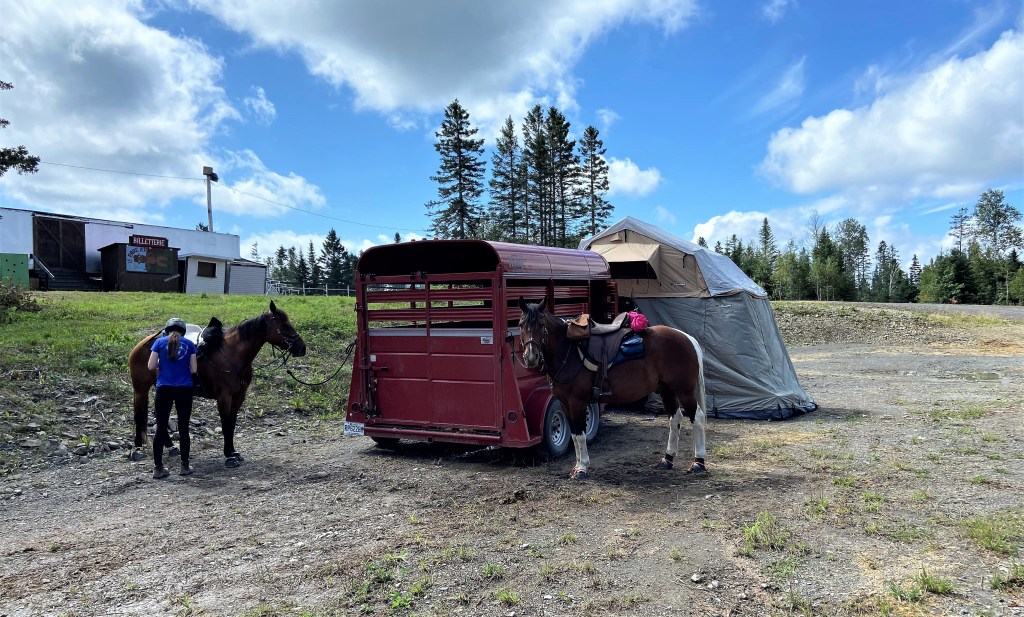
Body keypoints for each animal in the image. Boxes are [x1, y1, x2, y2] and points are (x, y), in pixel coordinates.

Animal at [127, 301, 306, 468]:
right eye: (284, 325)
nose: (302, 348)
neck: (232, 354)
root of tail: (142, 344)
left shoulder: (239, 396)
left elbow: (232, 424)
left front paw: (233, 452)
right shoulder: (223, 397)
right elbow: (226, 424)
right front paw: (229, 456)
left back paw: (171, 447)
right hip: (141, 389)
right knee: (138, 414)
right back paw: (137, 448)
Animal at [517, 297, 707, 480]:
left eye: (541, 324)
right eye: (520, 324)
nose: (531, 357)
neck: (569, 352)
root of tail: (686, 337)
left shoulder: (577, 402)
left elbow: (580, 435)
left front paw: (582, 468)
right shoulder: (565, 404)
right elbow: (574, 434)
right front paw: (577, 466)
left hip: (684, 391)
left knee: (697, 417)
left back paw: (698, 463)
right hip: (667, 391)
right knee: (675, 419)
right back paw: (667, 459)